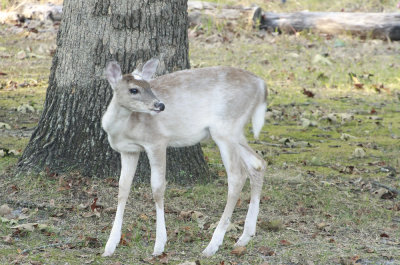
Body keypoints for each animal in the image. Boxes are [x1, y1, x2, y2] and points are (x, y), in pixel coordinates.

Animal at [101, 57, 268, 256]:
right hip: (236, 132)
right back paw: (244, 237)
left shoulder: (157, 141)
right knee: (257, 163)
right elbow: (122, 189)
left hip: (226, 127)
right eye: (134, 89)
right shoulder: (129, 151)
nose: (160, 105)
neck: (125, 128)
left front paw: (159, 245)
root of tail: (261, 84)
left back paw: (212, 245)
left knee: (237, 176)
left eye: (149, 86)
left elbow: (157, 188)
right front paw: (109, 246)